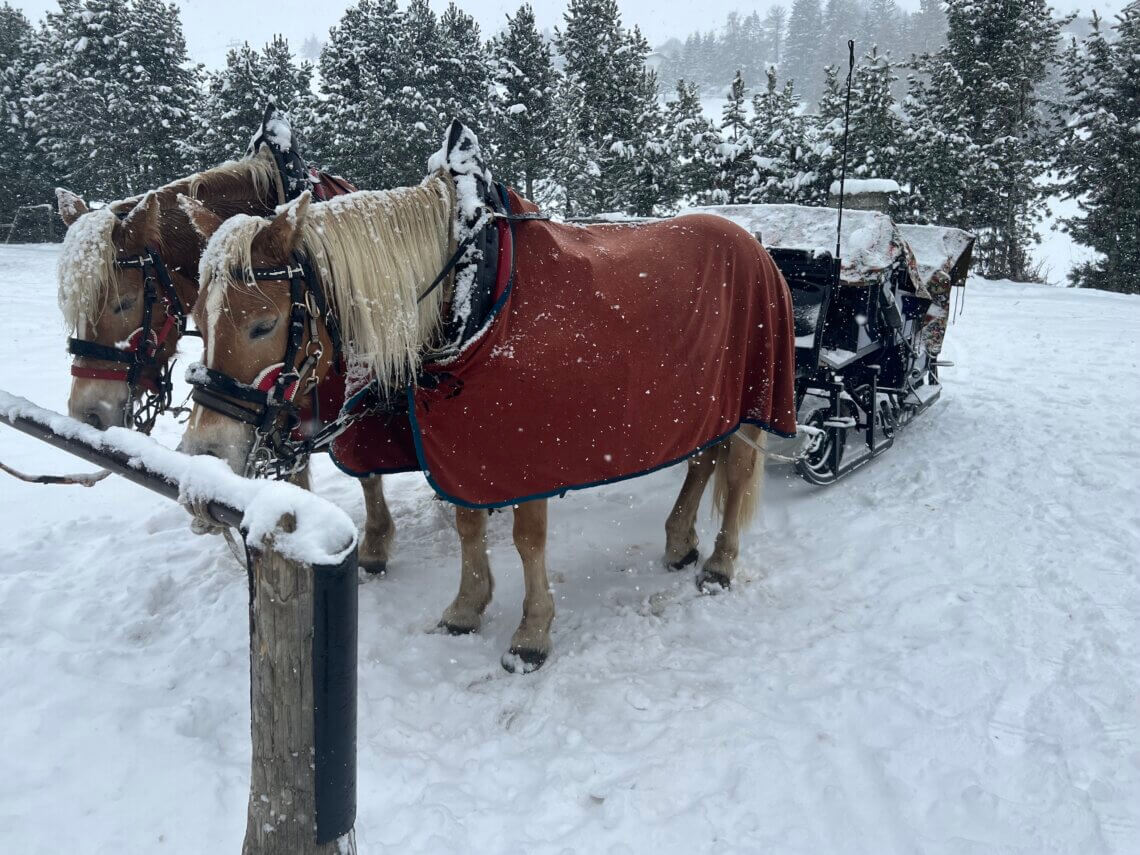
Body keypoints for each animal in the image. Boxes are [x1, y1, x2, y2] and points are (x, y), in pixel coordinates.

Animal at [180, 123, 802, 674]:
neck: (475, 297)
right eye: (198, 319)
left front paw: (531, 633)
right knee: (701, 461)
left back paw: (719, 563)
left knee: (735, 468)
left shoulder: (522, 451)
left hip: (752, 401)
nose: (206, 456)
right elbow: (467, 524)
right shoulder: (463, 443)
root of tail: (755, 245)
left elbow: (527, 539)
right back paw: (678, 542)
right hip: (702, 406)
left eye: (263, 324)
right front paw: (467, 606)